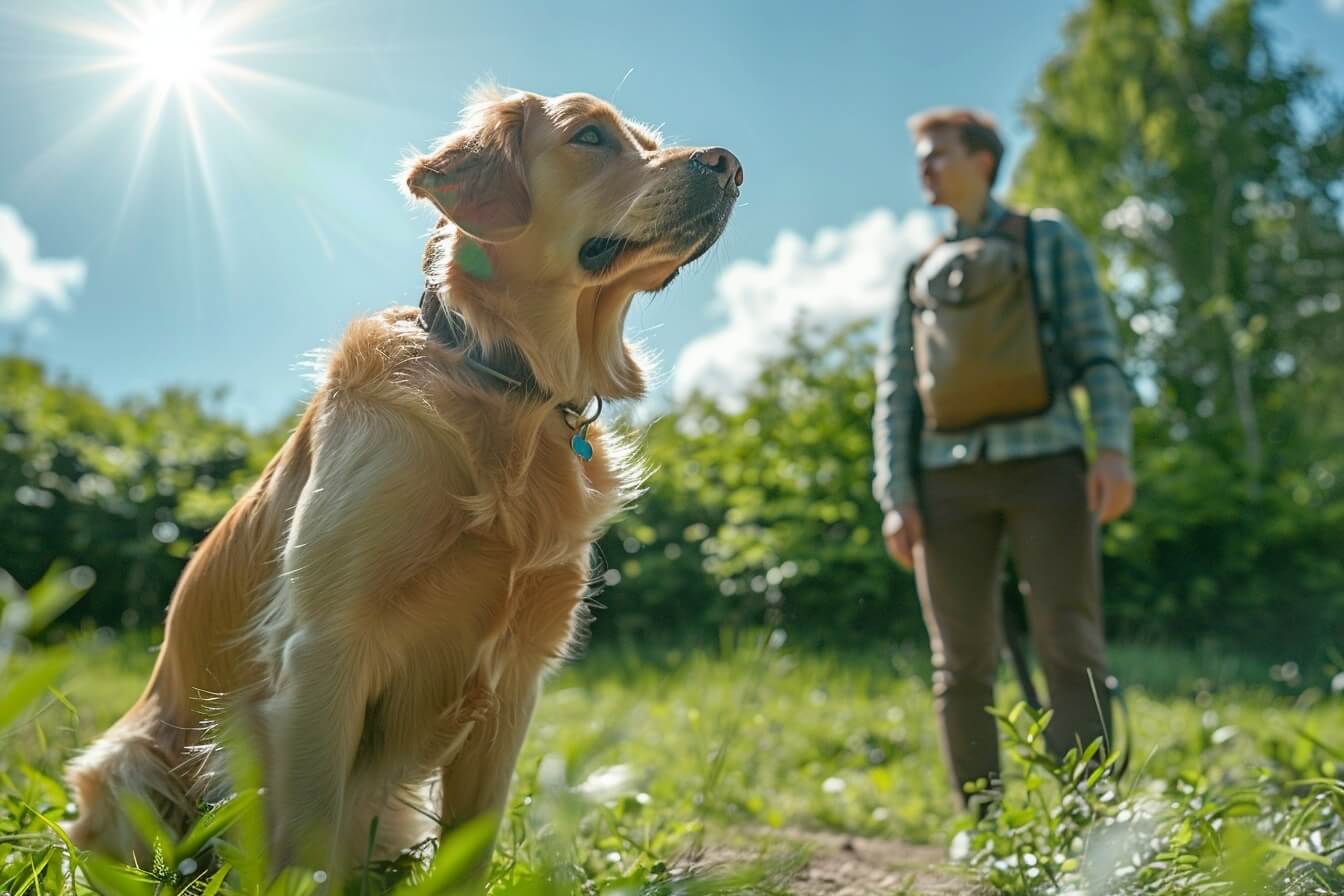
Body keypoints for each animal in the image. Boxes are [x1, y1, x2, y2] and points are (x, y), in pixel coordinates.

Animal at [65, 85, 747, 875]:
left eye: (646, 142)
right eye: (590, 136)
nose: (730, 166)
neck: (505, 382)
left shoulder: (518, 679)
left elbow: (468, 856)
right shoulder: (323, 648)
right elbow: (307, 848)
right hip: (127, 766)